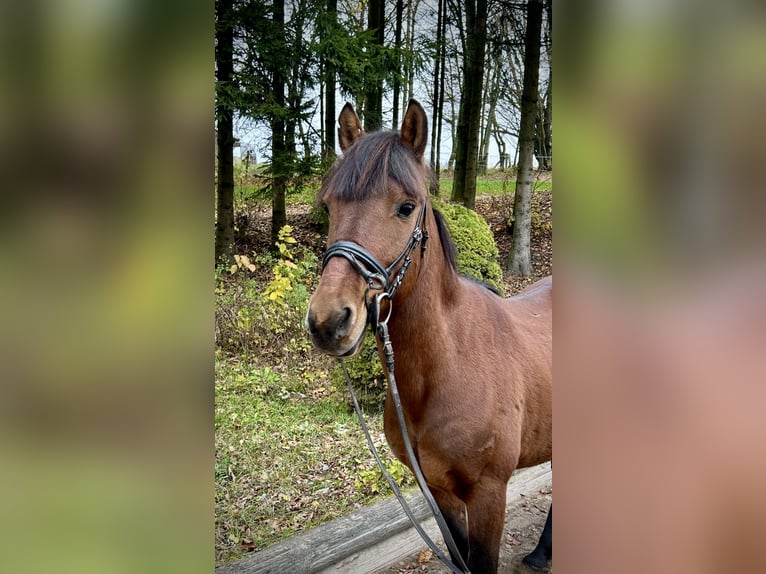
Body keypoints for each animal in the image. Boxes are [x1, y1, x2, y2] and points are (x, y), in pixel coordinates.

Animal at [306, 101, 552, 572]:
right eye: (328, 207)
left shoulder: (489, 494)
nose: (329, 322)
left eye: (406, 207)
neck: (449, 364)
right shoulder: (438, 492)